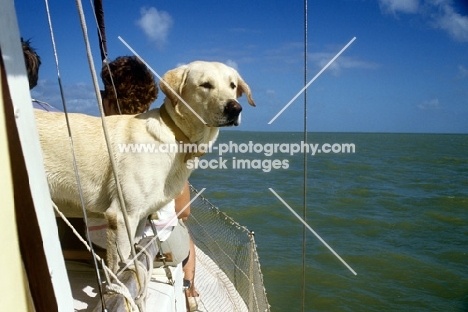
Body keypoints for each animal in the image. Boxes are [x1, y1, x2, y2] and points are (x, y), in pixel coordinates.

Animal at [35, 60, 256, 270]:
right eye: (205, 85)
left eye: (232, 85)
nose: (235, 108)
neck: (175, 135)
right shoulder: (122, 216)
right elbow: (121, 269)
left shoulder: (140, 218)